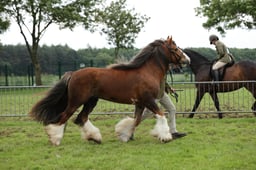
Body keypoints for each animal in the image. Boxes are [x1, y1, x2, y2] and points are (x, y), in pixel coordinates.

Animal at [29, 36, 190, 145]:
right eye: (175, 48)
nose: (187, 60)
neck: (147, 71)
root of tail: (73, 73)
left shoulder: (140, 103)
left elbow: (136, 120)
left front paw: (124, 135)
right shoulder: (148, 100)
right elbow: (160, 115)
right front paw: (165, 136)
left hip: (91, 101)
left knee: (81, 118)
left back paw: (95, 137)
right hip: (76, 101)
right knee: (64, 116)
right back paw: (55, 139)